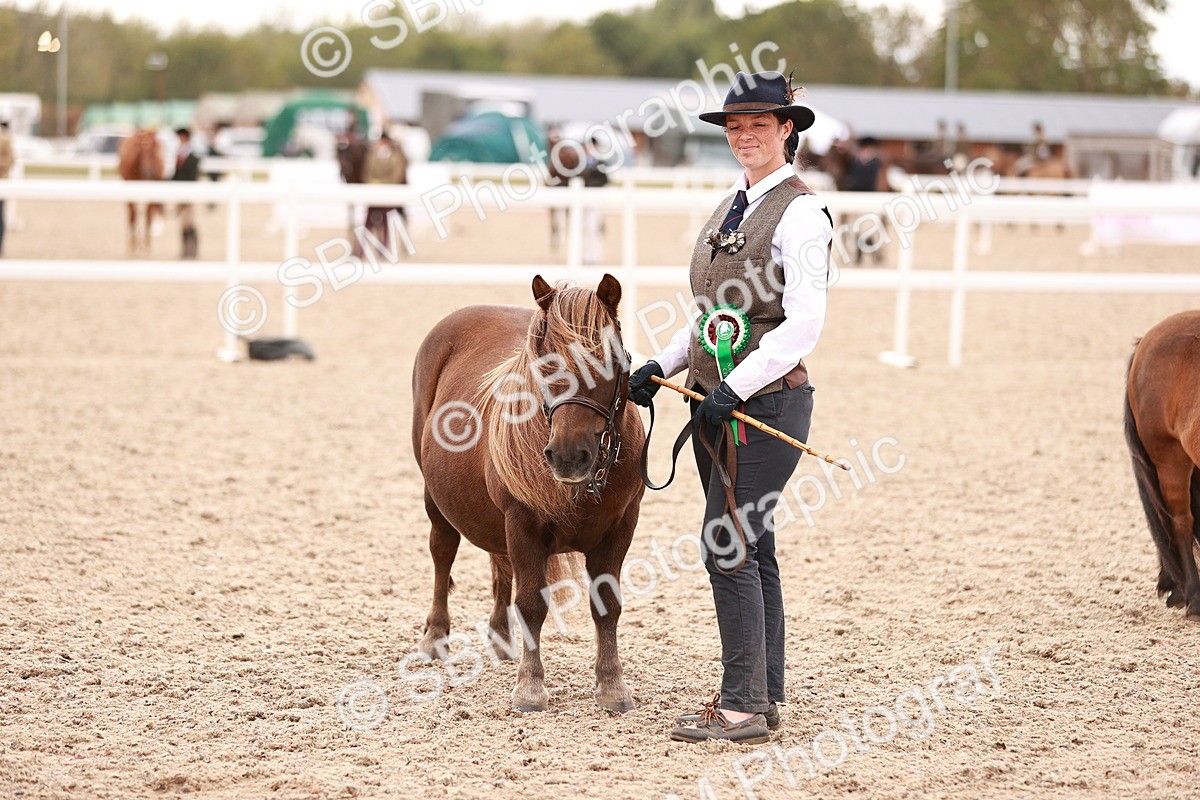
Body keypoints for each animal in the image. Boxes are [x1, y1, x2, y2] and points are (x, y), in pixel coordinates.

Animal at [411, 274, 646, 712]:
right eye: (544, 363)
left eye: (608, 360)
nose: (569, 455)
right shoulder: (522, 524)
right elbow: (532, 605)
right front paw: (530, 687)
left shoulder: (621, 527)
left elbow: (608, 604)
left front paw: (612, 685)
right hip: (435, 498)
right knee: (442, 553)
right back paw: (435, 636)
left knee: (499, 568)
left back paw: (501, 637)